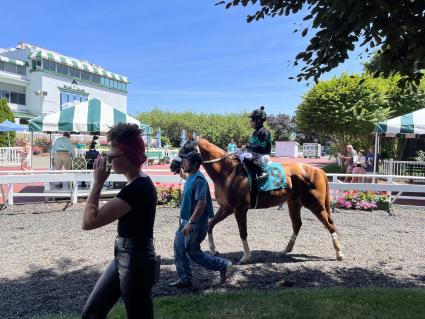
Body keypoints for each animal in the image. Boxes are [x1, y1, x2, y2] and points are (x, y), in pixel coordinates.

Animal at [171, 139, 342, 264]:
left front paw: (246, 256)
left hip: (315, 204)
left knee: (330, 224)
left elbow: (243, 232)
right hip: (294, 203)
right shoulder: (226, 208)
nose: (173, 165)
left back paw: (339, 253)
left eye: (186, 148)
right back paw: (286, 249)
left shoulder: (239, 209)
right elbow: (211, 224)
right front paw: (213, 250)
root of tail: (318, 170)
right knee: (297, 224)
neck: (227, 172)